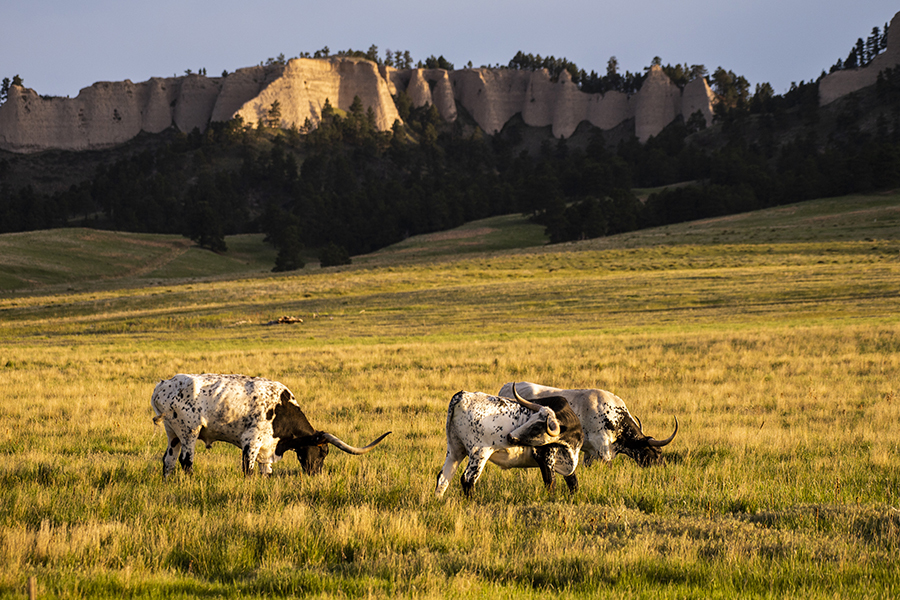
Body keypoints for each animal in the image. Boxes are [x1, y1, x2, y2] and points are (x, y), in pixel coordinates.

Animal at [150, 376, 390, 478]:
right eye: (323, 452)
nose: (317, 474)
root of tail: (162, 385)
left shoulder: (267, 448)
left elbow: (266, 472)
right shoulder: (251, 441)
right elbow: (248, 470)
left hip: (173, 434)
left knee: (169, 461)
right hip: (188, 432)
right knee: (186, 461)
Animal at [434, 384, 584, 496]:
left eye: (536, 427)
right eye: (529, 420)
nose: (510, 436)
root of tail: (463, 396)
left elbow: (573, 484)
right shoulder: (545, 459)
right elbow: (550, 484)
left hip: (455, 450)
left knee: (443, 477)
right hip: (479, 453)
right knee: (468, 479)